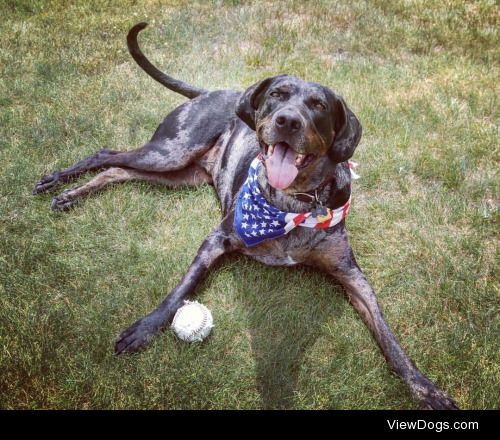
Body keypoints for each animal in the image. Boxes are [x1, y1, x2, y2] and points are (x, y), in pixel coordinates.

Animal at [33, 23, 458, 410]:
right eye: (277, 95)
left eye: (319, 105)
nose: (288, 121)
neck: (291, 204)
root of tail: (211, 91)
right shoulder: (217, 239)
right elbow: (181, 289)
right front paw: (146, 328)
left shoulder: (351, 274)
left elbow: (390, 337)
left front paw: (425, 389)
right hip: (170, 151)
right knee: (106, 155)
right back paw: (58, 184)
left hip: (178, 174)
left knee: (116, 171)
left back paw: (71, 195)